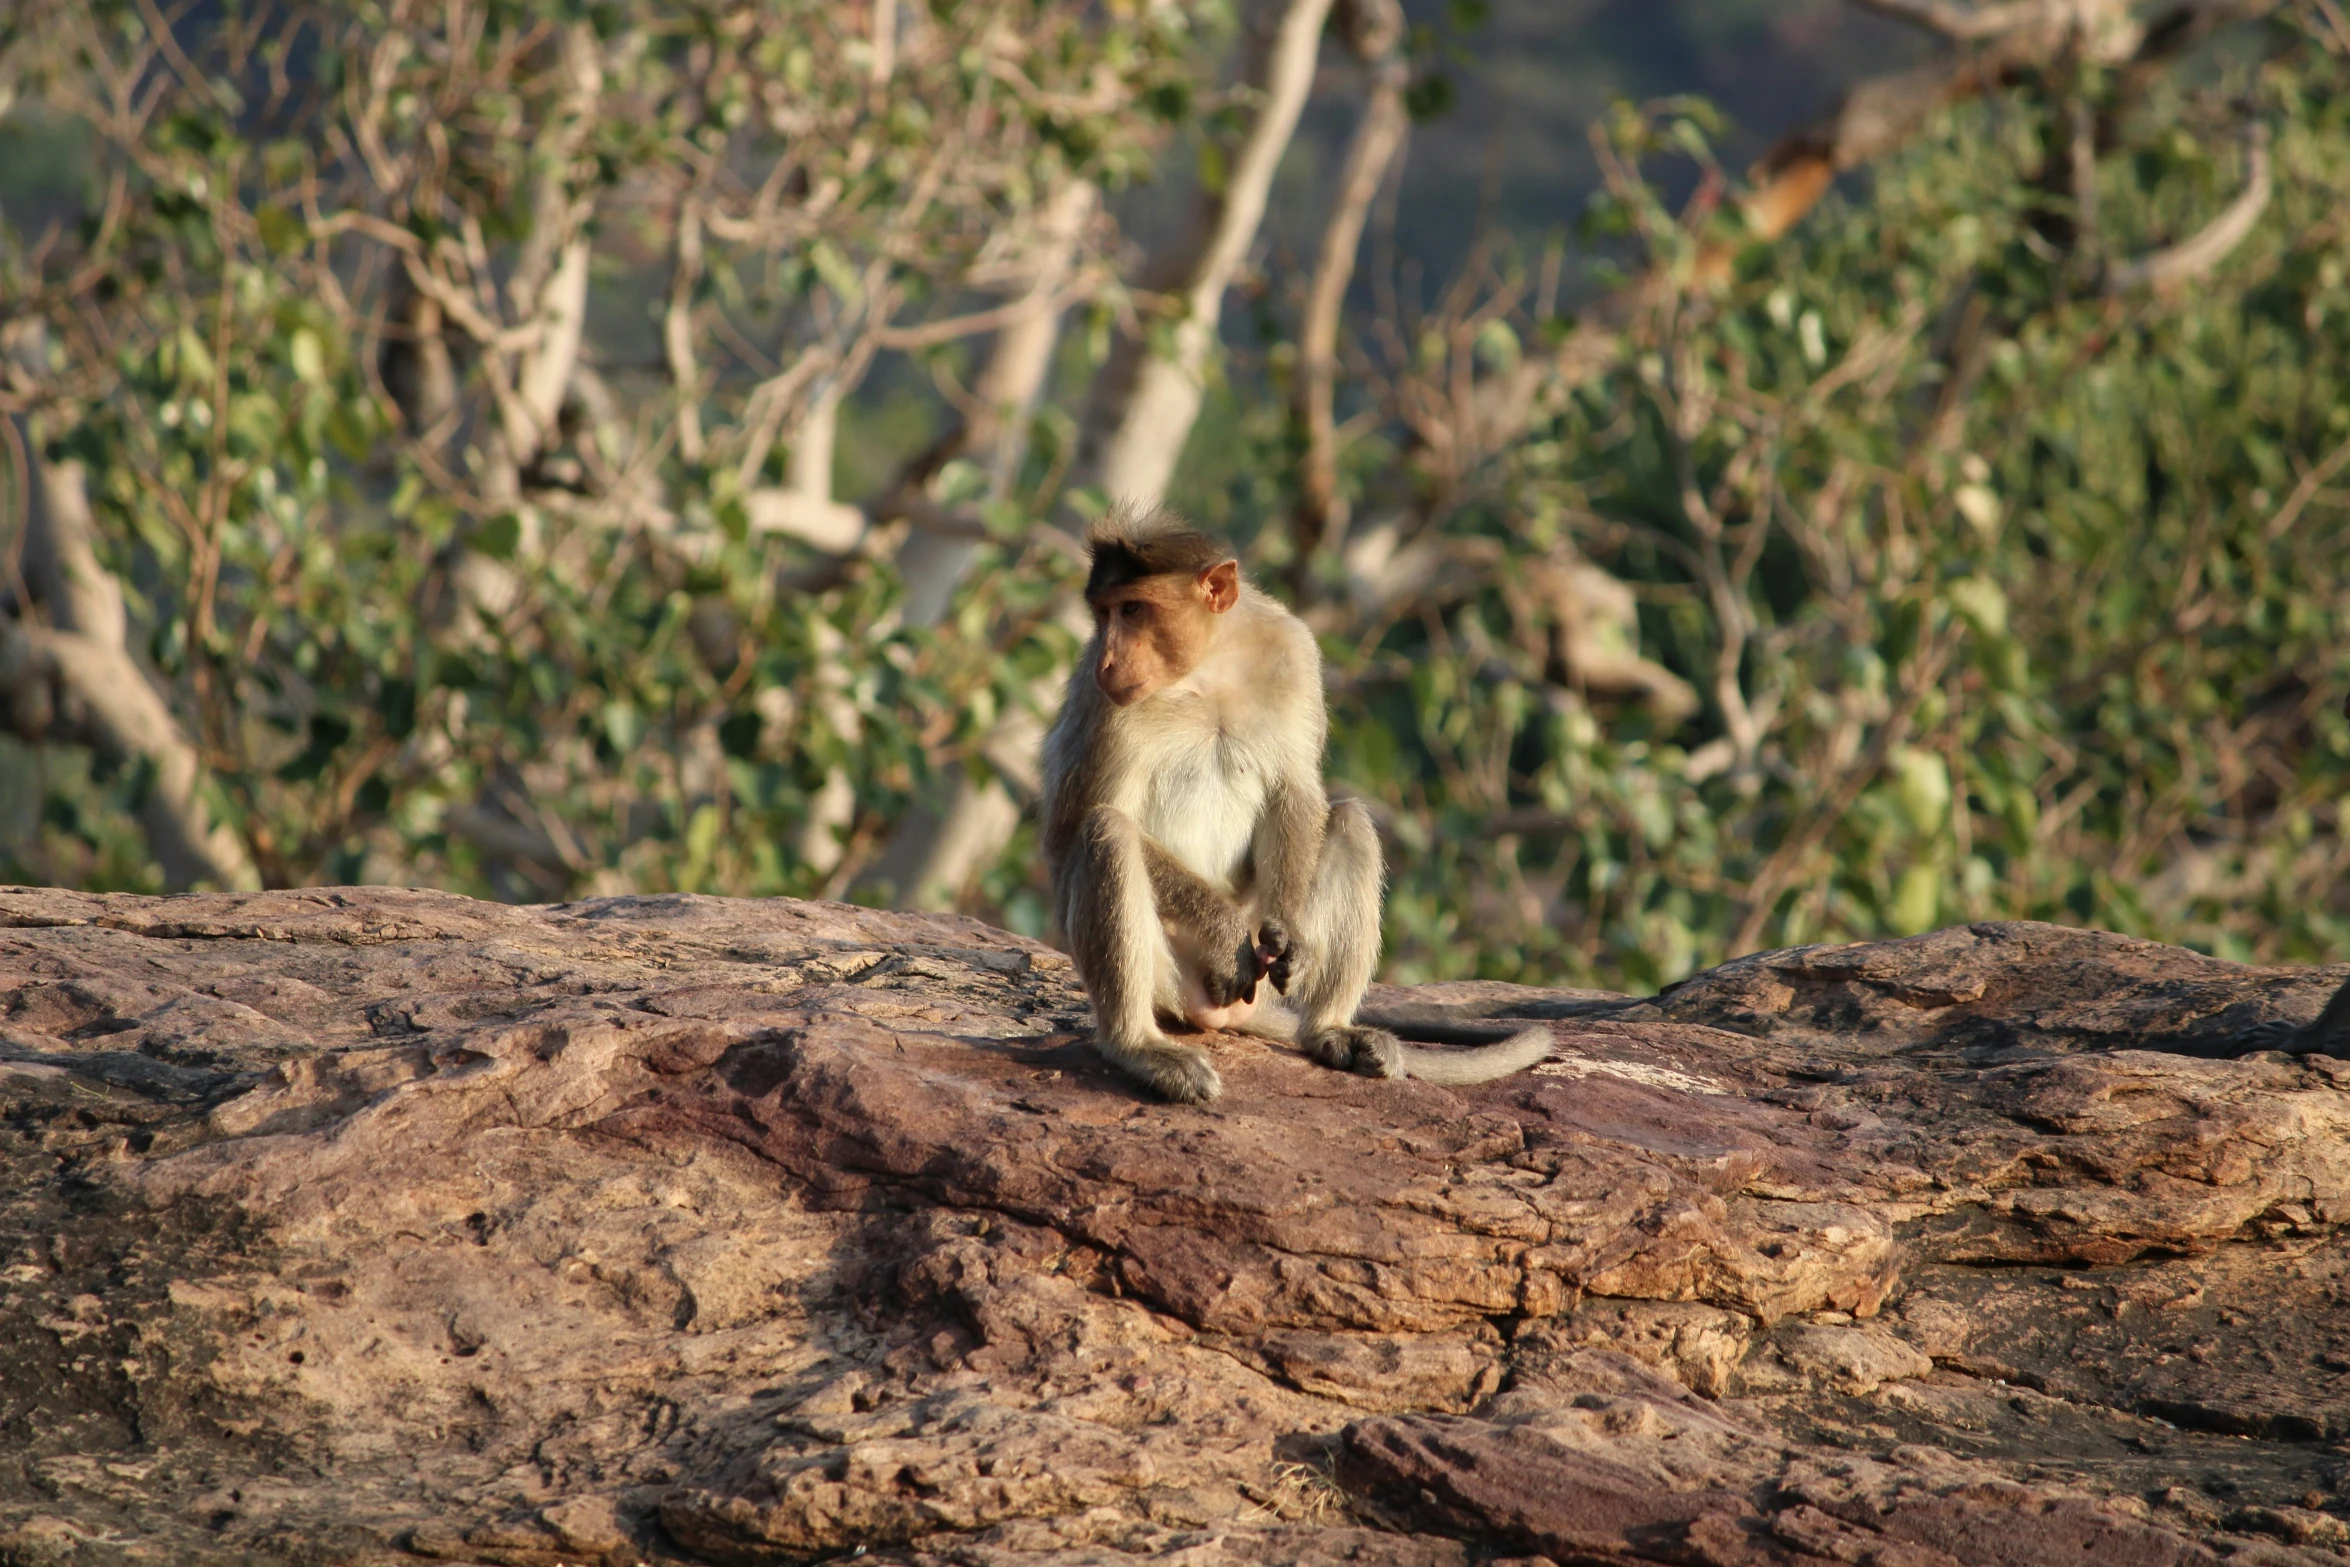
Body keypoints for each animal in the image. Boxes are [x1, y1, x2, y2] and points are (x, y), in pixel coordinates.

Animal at [1034, 502, 1550, 1104]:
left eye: (1133, 609)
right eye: (1104, 614)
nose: (1110, 661)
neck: (1207, 669)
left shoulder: (1293, 650)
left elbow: (1296, 790)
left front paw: (1295, 938)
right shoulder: (1105, 706)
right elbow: (1074, 828)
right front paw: (1222, 932)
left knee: (1350, 820)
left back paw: (1329, 1030)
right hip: (1172, 979)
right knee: (1108, 831)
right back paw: (1137, 1045)